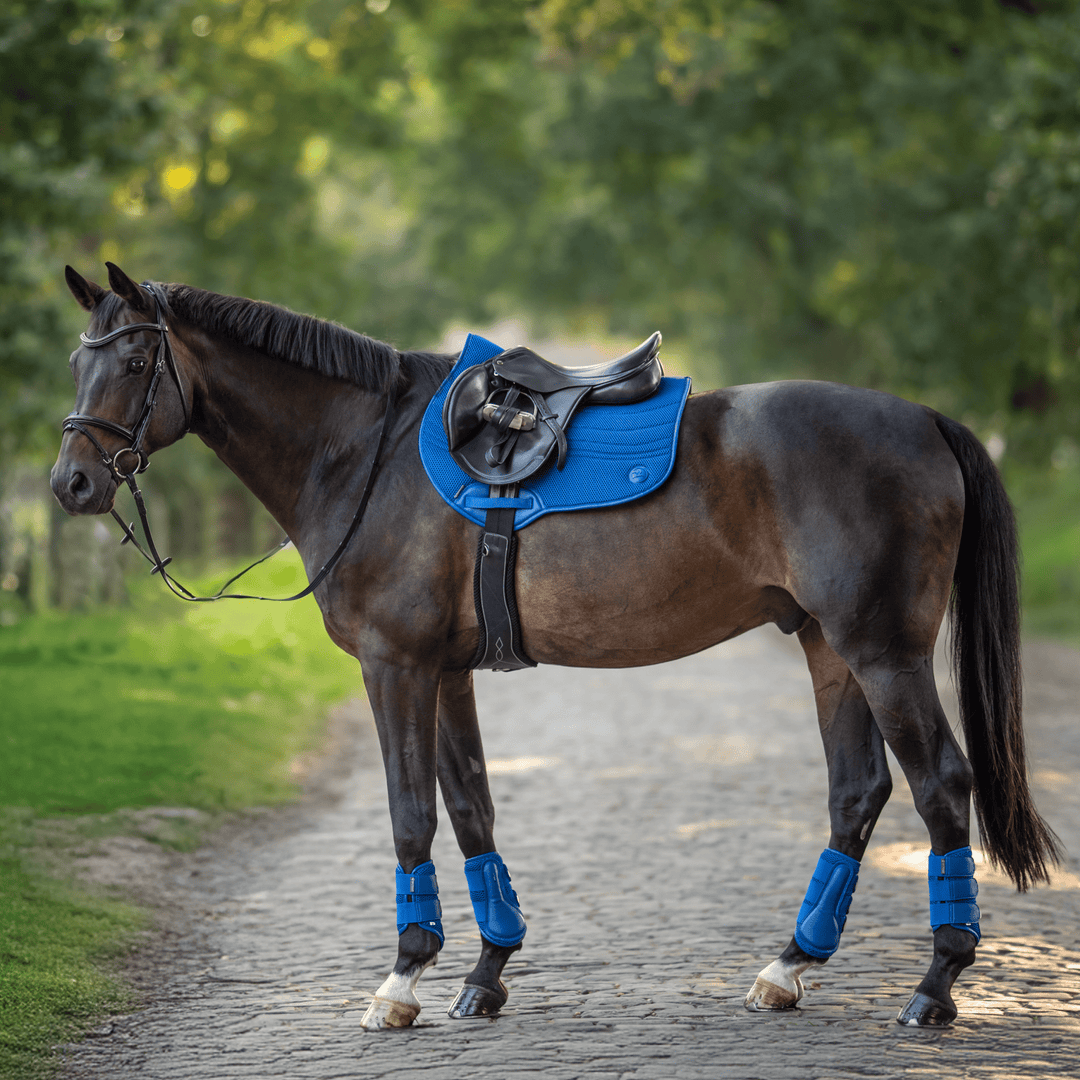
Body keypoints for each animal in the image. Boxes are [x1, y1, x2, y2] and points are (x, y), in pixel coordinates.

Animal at [52, 262, 1059, 1030]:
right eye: (75, 359)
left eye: (136, 358)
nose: (71, 483)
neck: (363, 452)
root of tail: (925, 419)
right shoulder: (446, 672)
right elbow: (471, 810)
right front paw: (484, 973)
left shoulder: (395, 666)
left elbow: (411, 815)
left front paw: (402, 978)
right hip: (827, 647)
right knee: (858, 792)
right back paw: (786, 968)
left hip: (882, 651)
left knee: (942, 787)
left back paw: (936, 985)